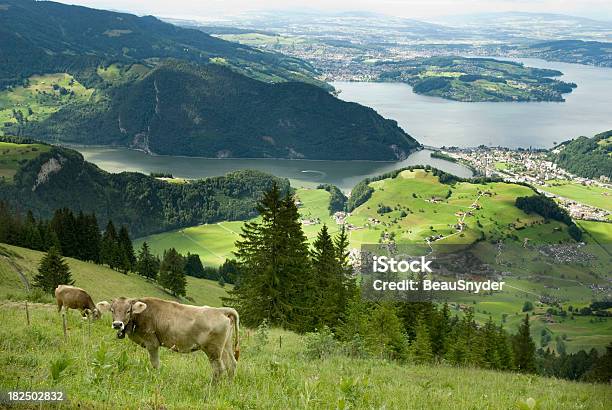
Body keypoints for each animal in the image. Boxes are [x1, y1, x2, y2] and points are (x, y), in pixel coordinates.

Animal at [98, 298, 239, 382]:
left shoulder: (152, 342)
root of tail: (220, 310)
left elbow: (155, 363)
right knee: (231, 364)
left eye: (128, 311)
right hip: (226, 346)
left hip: (213, 350)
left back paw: (211, 389)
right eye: (112, 310)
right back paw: (228, 385)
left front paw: (155, 378)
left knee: (219, 369)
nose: (117, 324)